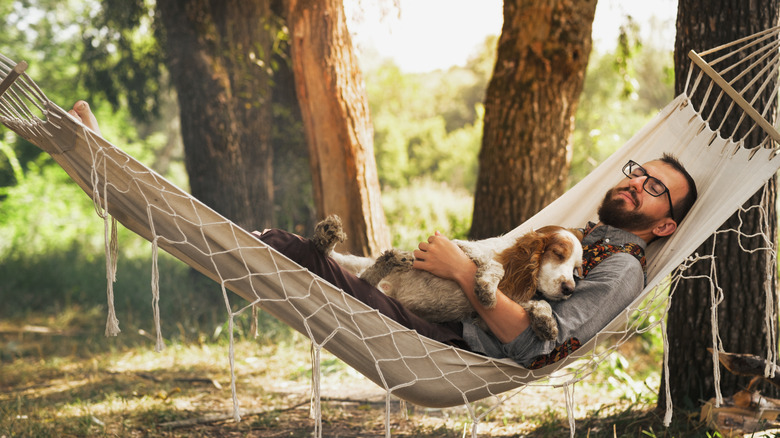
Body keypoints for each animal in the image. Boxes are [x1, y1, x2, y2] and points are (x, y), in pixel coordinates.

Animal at [314, 216, 580, 342]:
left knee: (364, 277)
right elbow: (494, 267)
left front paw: (546, 323)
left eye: (577, 270)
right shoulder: (462, 247)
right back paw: (329, 236)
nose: (569, 289)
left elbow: (540, 303)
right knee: (345, 264)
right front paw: (486, 289)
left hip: (370, 282)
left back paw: (391, 258)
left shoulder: (485, 320)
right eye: (558, 254)